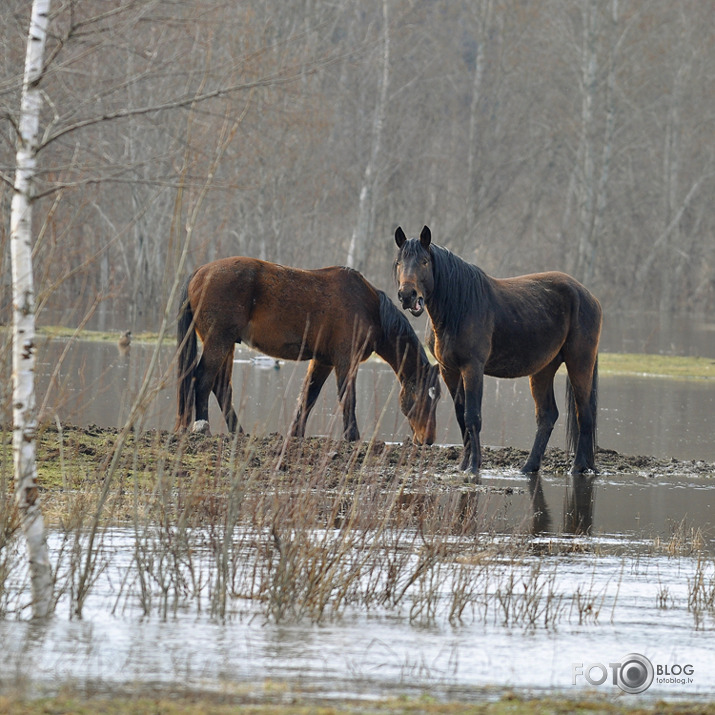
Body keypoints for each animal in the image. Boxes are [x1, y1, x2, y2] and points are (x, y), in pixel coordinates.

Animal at [174, 258, 442, 444]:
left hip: (227, 344)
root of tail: (200, 272)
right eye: (425, 396)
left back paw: (238, 432)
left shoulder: (323, 361)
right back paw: (202, 427)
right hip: (218, 341)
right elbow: (348, 398)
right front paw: (352, 437)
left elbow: (308, 398)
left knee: (221, 387)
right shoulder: (346, 361)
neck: (369, 309)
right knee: (202, 379)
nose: (427, 440)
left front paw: (296, 434)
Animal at [394, 227, 600, 478]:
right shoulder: (449, 370)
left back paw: (578, 467)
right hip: (543, 369)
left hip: (579, 362)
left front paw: (474, 466)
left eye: (424, 261)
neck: (458, 307)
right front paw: (463, 464)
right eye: (399, 263)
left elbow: (473, 416)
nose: (407, 295)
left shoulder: (472, 367)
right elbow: (461, 415)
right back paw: (528, 467)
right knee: (547, 416)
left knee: (584, 414)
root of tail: (588, 296)